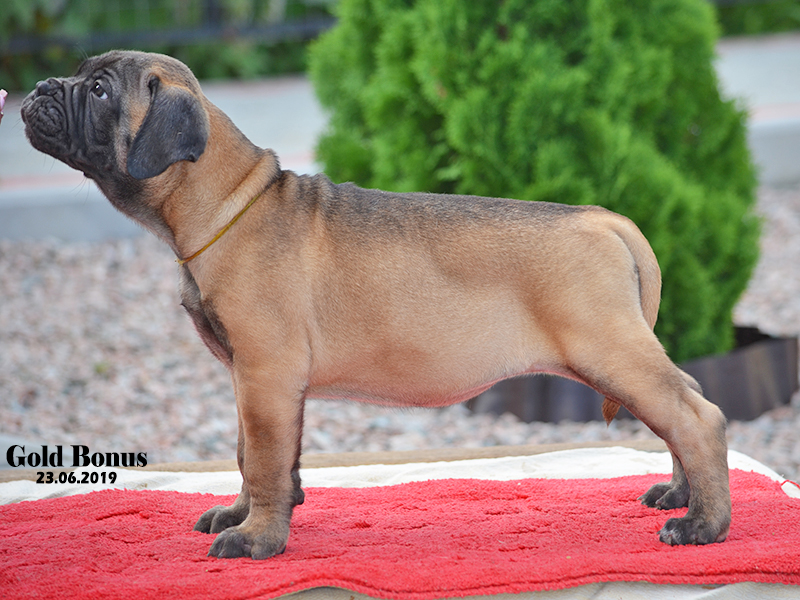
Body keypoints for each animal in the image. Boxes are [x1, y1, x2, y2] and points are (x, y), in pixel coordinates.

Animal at [20, 50, 732, 556]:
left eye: (99, 90)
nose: (39, 88)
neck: (228, 203)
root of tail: (602, 219)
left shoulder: (266, 373)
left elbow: (264, 457)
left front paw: (257, 539)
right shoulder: (253, 380)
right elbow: (255, 455)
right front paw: (245, 514)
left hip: (609, 350)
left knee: (698, 416)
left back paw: (705, 525)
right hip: (624, 353)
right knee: (683, 407)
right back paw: (680, 495)